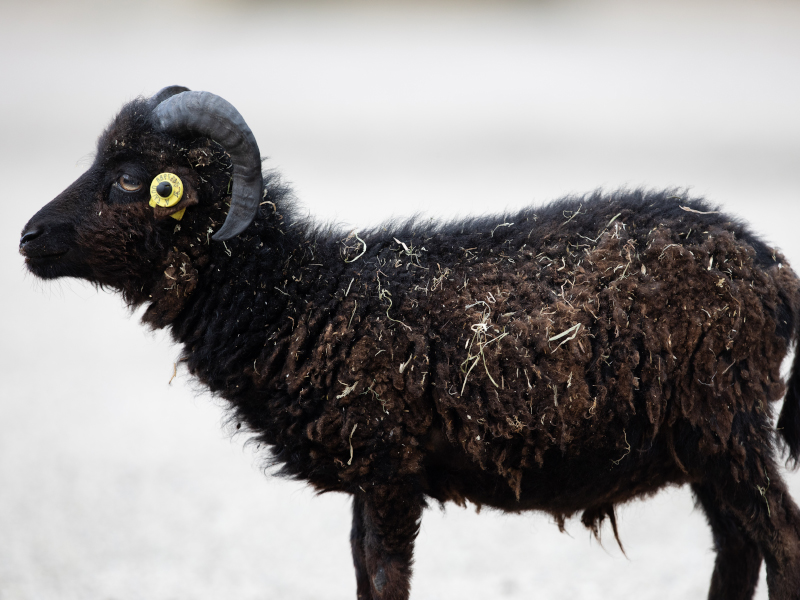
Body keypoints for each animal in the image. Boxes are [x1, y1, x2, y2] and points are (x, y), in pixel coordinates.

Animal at [18, 85, 800, 600]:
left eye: (133, 180)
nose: (27, 237)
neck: (297, 293)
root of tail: (771, 267)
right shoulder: (368, 477)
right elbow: (362, 577)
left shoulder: (393, 469)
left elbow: (387, 579)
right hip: (703, 438)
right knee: (738, 549)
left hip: (725, 422)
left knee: (779, 540)